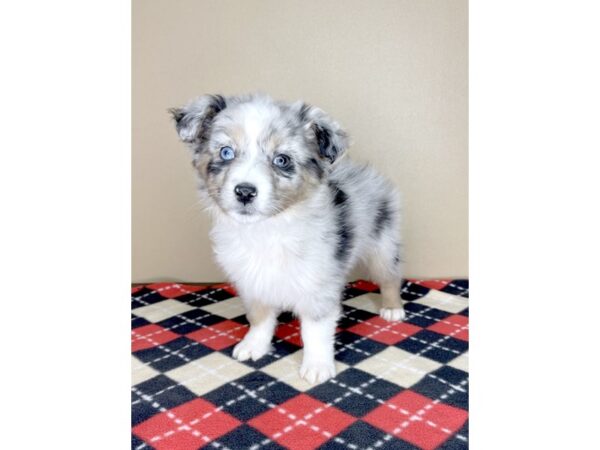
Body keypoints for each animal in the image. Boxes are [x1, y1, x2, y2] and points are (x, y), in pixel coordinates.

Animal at [169, 95, 406, 384]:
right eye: (226, 152)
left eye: (281, 160)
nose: (245, 192)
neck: (267, 229)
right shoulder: (252, 281)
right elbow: (259, 317)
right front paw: (253, 345)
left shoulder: (317, 284)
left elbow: (315, 329)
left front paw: (317, 366)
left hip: (382, 245)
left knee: (390, 277)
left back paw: (393, 308)